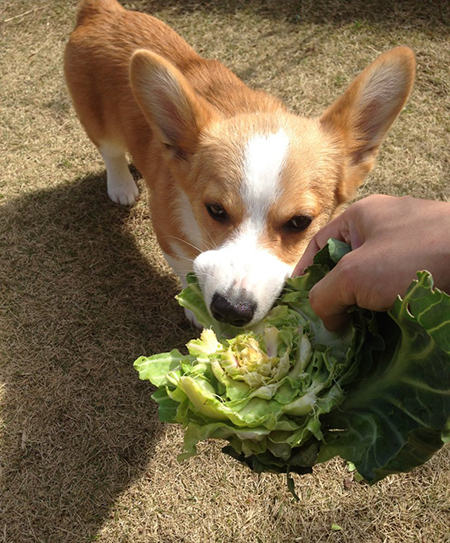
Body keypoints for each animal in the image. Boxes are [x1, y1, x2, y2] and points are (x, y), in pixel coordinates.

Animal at [64, 0, 414, 328]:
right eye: (215, 210)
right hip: (97, 122)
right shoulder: (168, 232)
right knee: (110, 151)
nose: (231, 310)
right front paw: (193, 308)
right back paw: (122, 185)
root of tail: (103, 11)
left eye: (300, 222)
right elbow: (185, 266)